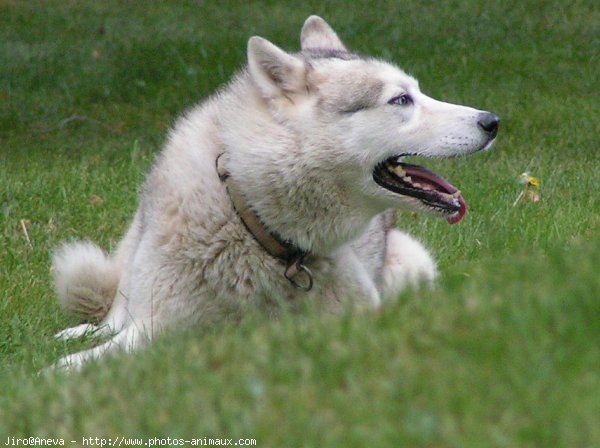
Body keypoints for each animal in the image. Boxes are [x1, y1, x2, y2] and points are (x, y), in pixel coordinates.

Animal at [50, 16, 496, 368]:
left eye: (417, 92)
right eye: (401, 100)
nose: (492, 121)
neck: (252, 222)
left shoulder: (361, 312)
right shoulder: (149, 327)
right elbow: (78, 362)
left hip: (412, 266)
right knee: (113, 311)